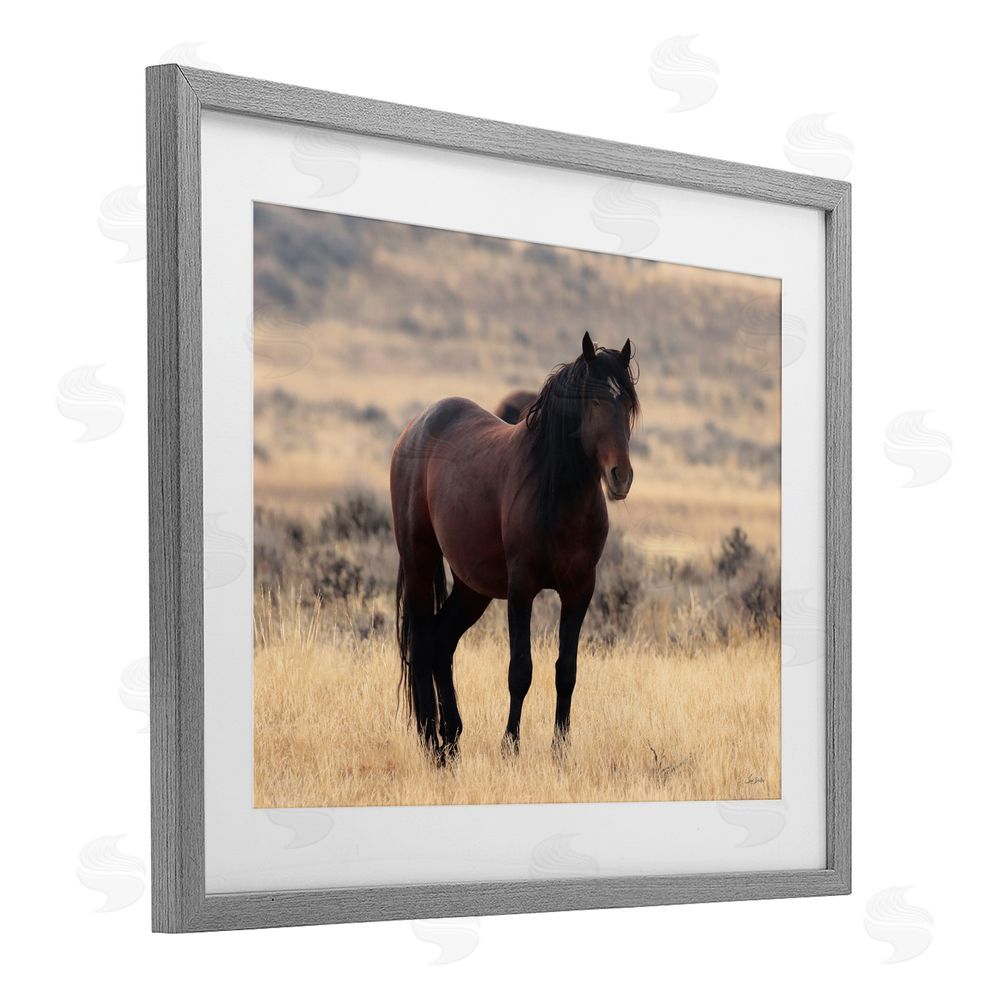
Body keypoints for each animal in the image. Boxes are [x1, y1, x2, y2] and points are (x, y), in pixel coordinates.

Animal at [390, 332, 639, 763]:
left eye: (626, 404)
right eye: (593, 401)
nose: (620, 476)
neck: (557, 494)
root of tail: (415, 427)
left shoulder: (579, 591)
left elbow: (566, 671)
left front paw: (560, 750)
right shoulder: (521, 588)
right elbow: (520, 669)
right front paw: (510, 745)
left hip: (472, 587)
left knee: (441, 642)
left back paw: (452, 740)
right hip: (420, 563)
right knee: (422, 644)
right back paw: (431, 743)